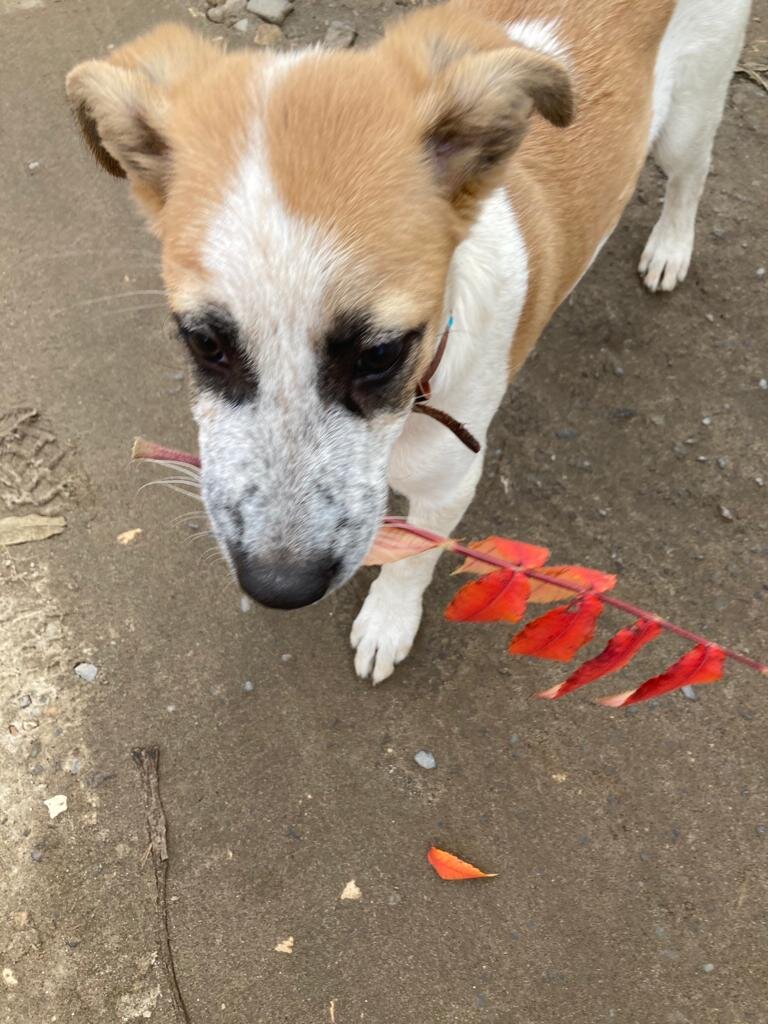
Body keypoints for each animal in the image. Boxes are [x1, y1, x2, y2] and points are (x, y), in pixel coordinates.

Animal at [66, 0, 751, 683]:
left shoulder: (450, 482)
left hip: (690, 114)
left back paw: (670, 246)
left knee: (692, 173)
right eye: (205, 342)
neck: (415, 405)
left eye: (381, 353)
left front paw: (387, 621)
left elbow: (412, 559)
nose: (280, 588)